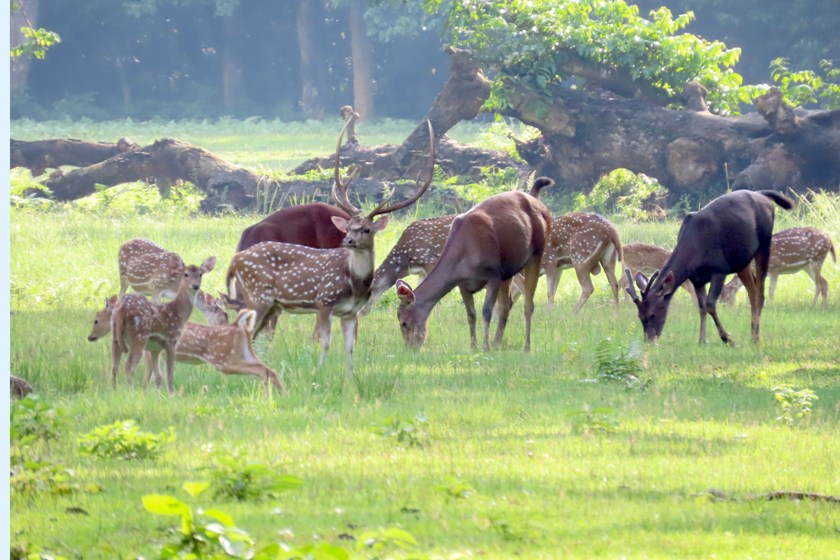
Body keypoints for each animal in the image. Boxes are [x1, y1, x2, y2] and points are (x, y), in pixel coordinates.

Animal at [88, 300, 286, 396]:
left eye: (96, 320)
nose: (90, 336)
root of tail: (238, 325)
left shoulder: (148, 352)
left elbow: (148, 376)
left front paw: (145, 394)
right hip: (243, 353)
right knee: (270, 369)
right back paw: (283, 394)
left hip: (224, 359)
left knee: (262, 371)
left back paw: (268, 397)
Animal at [225, 118, 434, 376]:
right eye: (351, 228)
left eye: (367, 229)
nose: (348, 241)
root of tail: (235, 260)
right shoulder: (321, 303)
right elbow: (322, 340)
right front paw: (320, 371)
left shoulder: (341, 309)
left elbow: (344, 345)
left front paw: (347, 376)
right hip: (265, 298)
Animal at [398, 176, 556, 350]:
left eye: (403, 322)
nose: (410, 347)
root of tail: (538, 201)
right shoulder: (463, 283)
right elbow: (471, 314)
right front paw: (474, 346)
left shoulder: (494, 273)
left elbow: (486, 312)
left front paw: (485, 347)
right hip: (508, 270)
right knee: (506, 305)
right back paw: (497, 343)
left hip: (537, 252)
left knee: (528, 304)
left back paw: (526, 347)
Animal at [624, 190, 796, 344]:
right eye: (640, 316)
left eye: (652, 314)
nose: (649, 341)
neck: (693, 252)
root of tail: (763, 195)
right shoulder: (697, 279)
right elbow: (701, 307)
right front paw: (702, 340)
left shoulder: (719, 269)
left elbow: (710, 305)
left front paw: (727, 338)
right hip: (742, 261)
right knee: (752, 290)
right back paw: (753, 333)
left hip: (765, 244)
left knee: (760, 291)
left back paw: (756, 338)